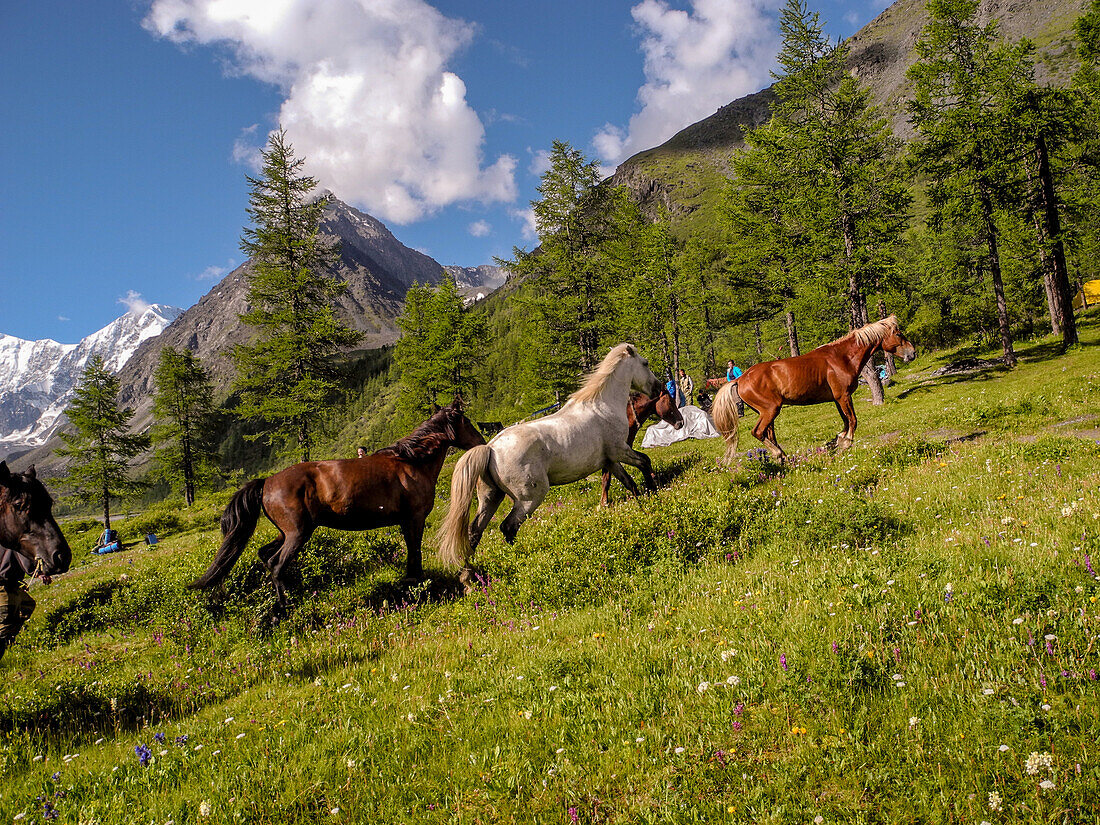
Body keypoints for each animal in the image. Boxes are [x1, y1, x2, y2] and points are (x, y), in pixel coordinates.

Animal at [190, 402, 486, 602]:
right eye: (466, 421)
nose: (481, 441)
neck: (411, 463)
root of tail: (268, 482)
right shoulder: (414, 519)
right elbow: (415, 553)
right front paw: (417, 585)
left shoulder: (406, 522)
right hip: (297, 534)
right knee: (276, 563)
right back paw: (286, 605)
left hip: (286, 533)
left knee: (265, 556)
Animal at [437, 345, 660, 585]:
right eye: (645, 363)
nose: (658, 388)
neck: (603, 406)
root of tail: (491, 448)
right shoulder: (620, 450)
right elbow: (645, 462)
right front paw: (654, 493)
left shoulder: (611, 460)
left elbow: (630, 484)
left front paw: (643, 504)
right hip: (529, 498)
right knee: (508, 527)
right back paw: (518, 560)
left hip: (491, 497)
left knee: (474, 532)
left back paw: (469, 575)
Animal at [708, 314, 915, 462]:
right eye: (898, 334)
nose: (912, 353)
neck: (841, 358)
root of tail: (740, 379)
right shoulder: (844, 396)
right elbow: (853, 420)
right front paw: (846, 443)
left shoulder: (838, 399)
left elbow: (845, 421)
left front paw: (837, 441)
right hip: (770, 409)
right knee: (757, 432)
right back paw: (778, 454)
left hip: (766, 412)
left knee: (768, 433)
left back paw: (783, 457)